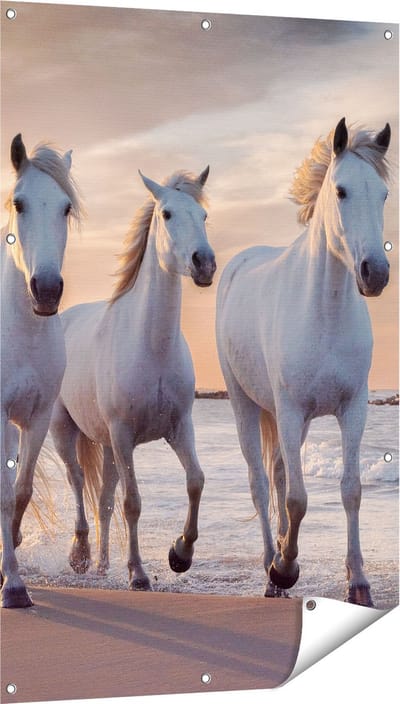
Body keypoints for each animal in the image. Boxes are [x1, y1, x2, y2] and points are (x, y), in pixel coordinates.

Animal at [50, 167, 216, 591]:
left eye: (203, 216)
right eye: (168, 214)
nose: (204, 263)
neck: (151, 346)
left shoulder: (179, 427)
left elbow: (196, 480)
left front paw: (180, 554)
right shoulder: (124, 435)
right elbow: (133, 502)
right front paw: (139, 573)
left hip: (107, 446)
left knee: (103, 499)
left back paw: (103, 564)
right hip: (65, 430)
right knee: (78, 481)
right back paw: (80, 555)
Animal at [216, 118, 391, 607]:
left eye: (383, 194)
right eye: (341, 191)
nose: (376, 273)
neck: (325, 311)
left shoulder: (353, 409)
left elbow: (350, 490)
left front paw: (359, 582)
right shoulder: (291, 411)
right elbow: (297, 499)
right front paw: (285, 567)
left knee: (277, 474)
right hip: (245, 405)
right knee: (260, 483)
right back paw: (270, 569)